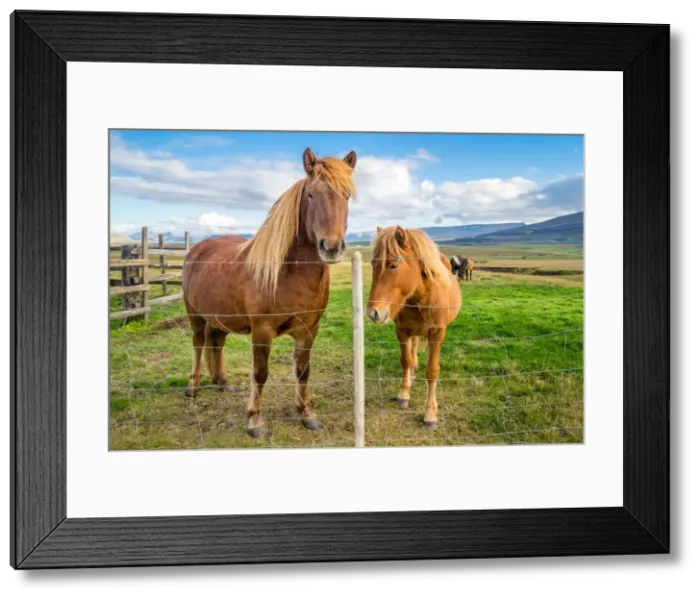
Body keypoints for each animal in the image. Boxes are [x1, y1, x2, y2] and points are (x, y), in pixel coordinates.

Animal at [181, 148, 358, 439]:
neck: (287, 274)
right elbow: (260, 373)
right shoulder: (262, 331)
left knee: (216, 342)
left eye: (347, 195)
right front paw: (255, 421)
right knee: (198, 343)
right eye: (311, 194)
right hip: (194, 314)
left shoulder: (309, 330)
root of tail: (197, 249)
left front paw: (307, 415)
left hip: (219, 317)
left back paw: (222, 382)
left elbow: (303, 371)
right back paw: (193, 387)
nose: (331, 247)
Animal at [366, 226, 462, 429]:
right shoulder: (402, 331)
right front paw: (404, 394)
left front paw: (431, 414)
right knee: (413, 349)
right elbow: (405, 361)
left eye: (393, 265)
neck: (422, 295)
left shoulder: (437, 334)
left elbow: (432, 371)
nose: (373, 313)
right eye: (373, 264)